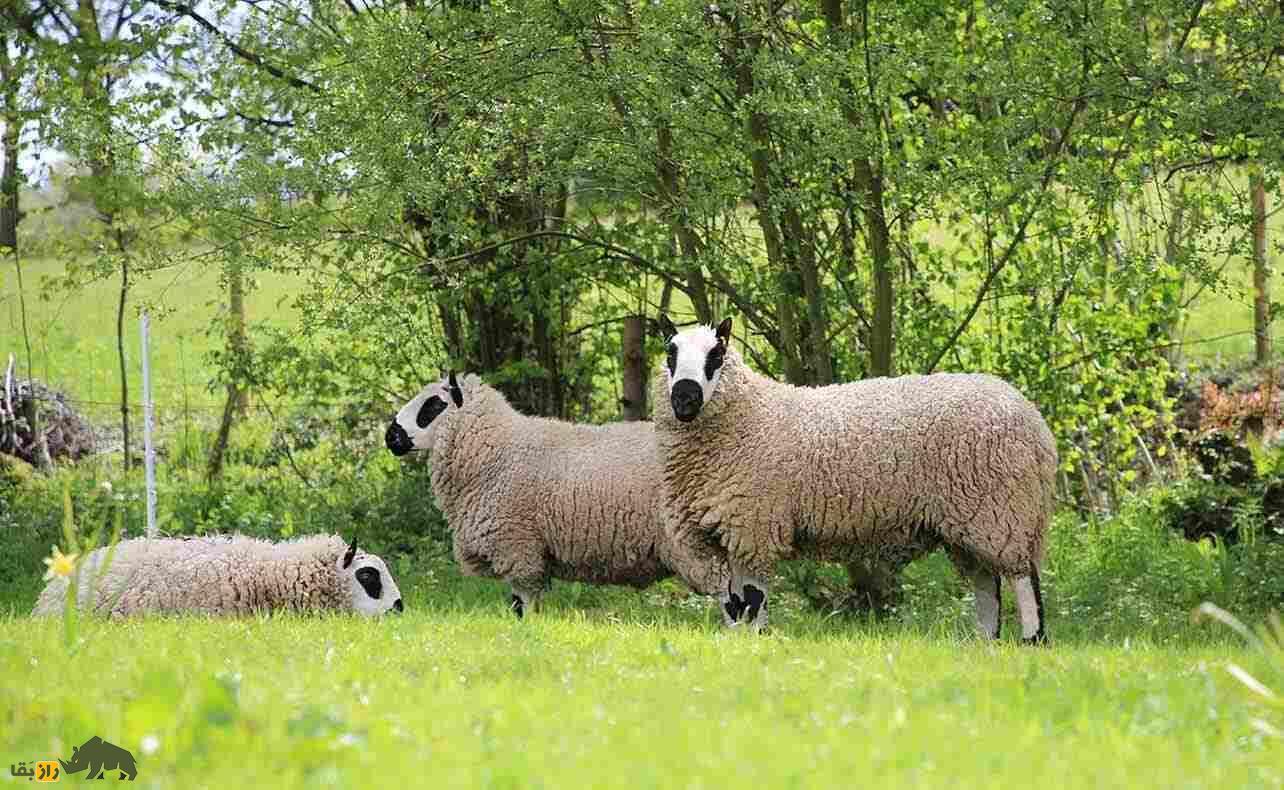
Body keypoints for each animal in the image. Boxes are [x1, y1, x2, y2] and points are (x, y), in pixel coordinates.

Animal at [382, 369, 734, 619]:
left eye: (433, 405)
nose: (391, 436)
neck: (496, 450)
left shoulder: (517, 547)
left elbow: (523, 605)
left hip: (691, 538)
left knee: (729, 592)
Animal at [652, 314, 1052, 642]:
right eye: (670, 353)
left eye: (716, 355)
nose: (684, 399)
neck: (749, 415)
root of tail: (1034, 422)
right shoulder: (730, 531)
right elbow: (734, 601)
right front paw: (739, 640)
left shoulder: (754, 525)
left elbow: (753, 597)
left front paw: (756, 640)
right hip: (967, 520)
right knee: (987, 582)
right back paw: (985, 641)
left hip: (1002, 508)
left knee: (1023, 577)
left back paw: (1030, 639)